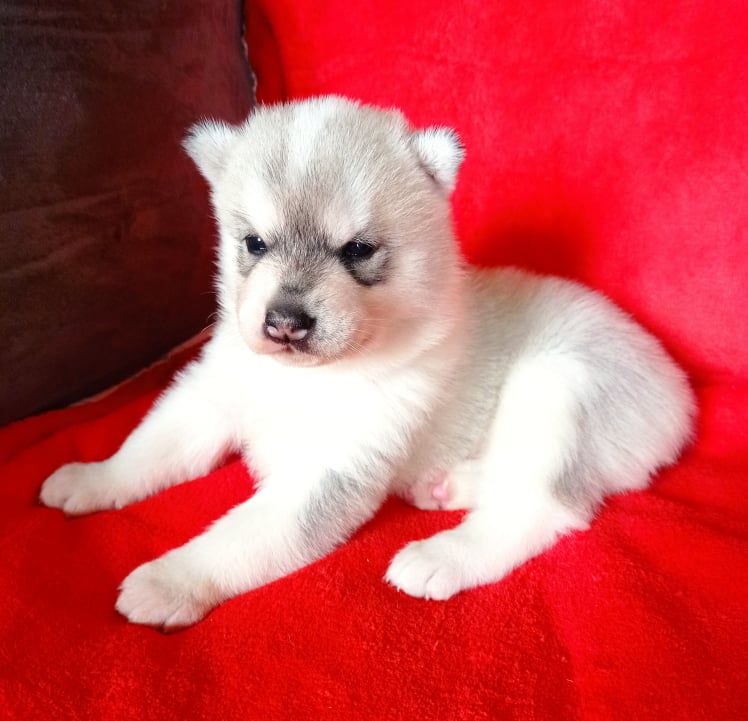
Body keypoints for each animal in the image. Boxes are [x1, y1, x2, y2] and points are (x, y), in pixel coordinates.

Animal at [40, 96, 696, 629]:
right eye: (254, 243)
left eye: (356, 249)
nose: (285, 322)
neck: (301, 382)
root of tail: (680, 392)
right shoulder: (209, 398)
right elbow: (147, 448)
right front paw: (92, 478)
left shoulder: (329, 471)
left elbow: (237, 538)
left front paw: (170, 579)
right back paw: (447, 485)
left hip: (559, 387)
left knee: (540, 506)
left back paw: (442, 555)